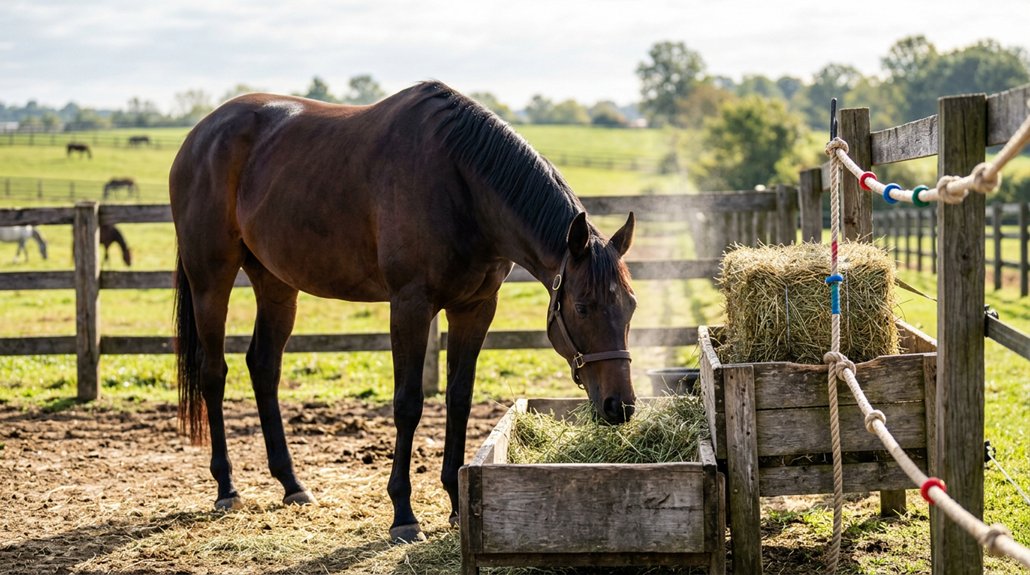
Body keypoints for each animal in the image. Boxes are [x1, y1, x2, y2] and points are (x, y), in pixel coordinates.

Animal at [169, 81, 637, 543]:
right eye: (582, 307)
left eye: (630, 306)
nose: (621, 407)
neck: (461, 184)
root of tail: (200, 135)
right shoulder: (410, 305)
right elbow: (408, 404)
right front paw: (403, 514)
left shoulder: (475, 308)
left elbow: (459, 398)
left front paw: (455, 503)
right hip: (211, 279)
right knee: (213, 373)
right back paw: (227, 487)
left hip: (276, 283)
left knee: (264, 367)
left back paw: (292, 484)